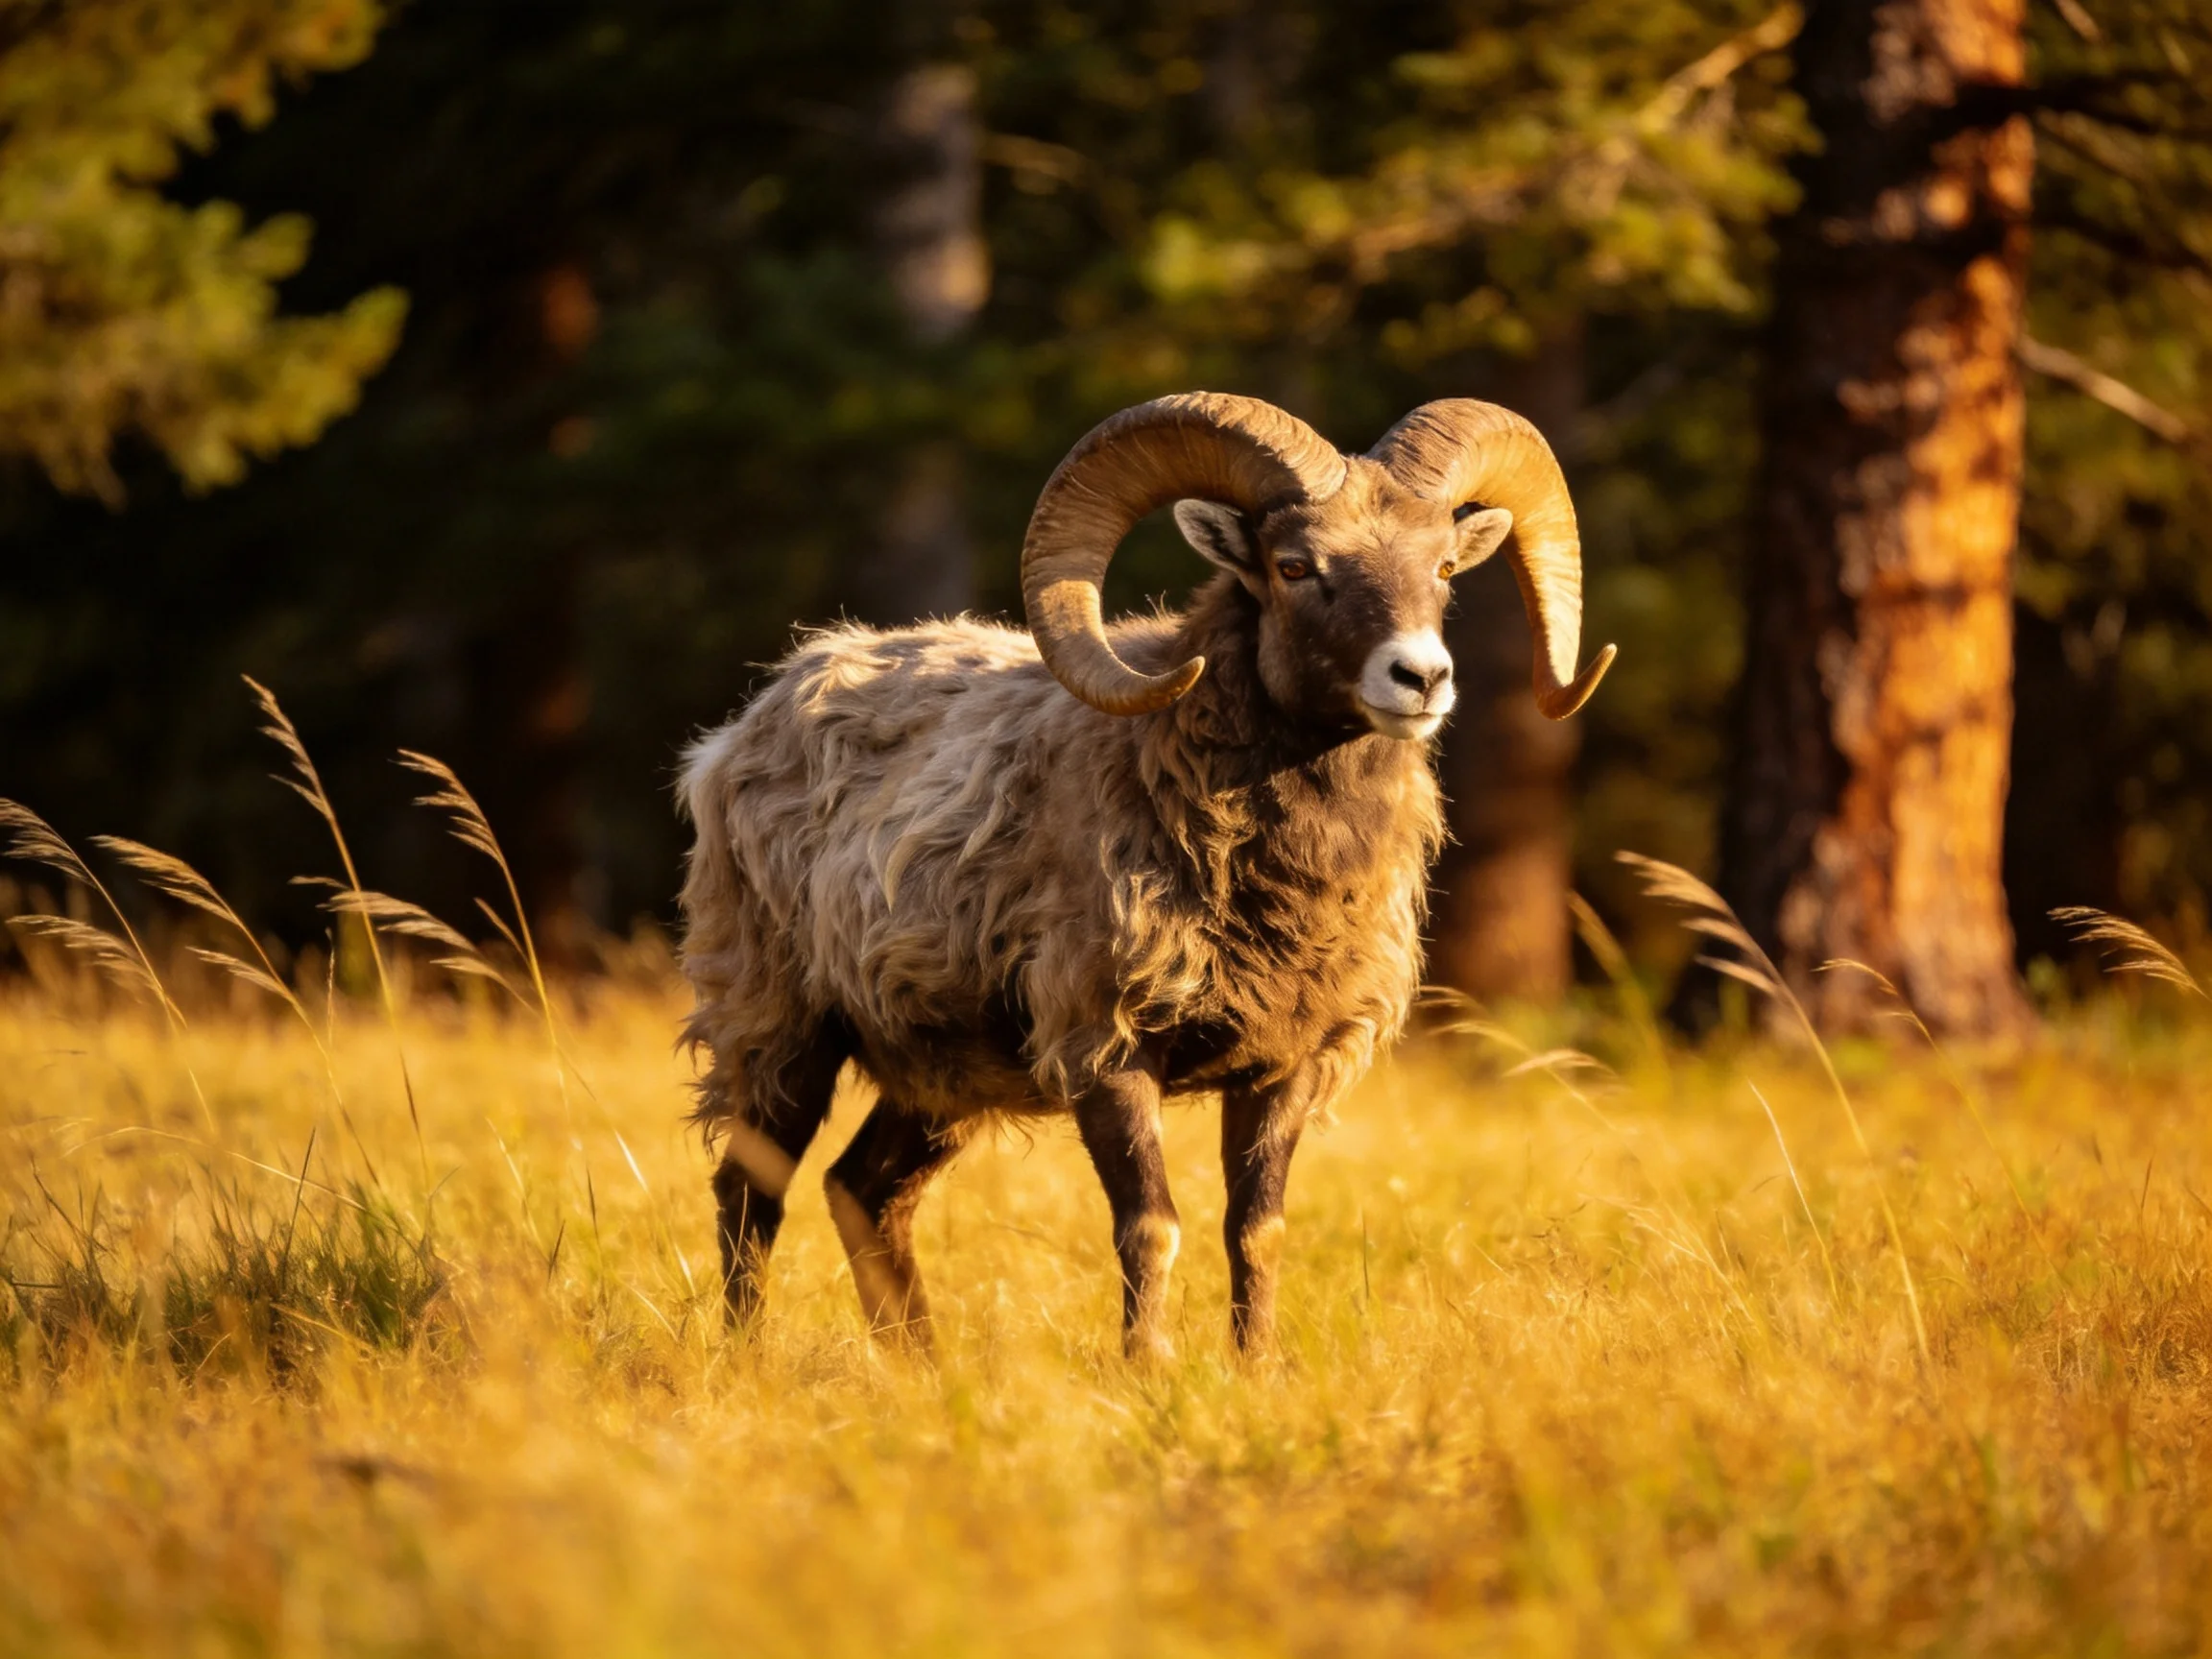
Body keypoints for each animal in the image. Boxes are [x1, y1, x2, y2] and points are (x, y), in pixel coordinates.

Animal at [678, 392, 1614, 1359]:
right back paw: (747, 1358)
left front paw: (1254, 1368)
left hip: (937, 1078)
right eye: (1294, 565)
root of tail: (744, 728)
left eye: (1443, 567)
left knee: (864, 1190)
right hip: (778, 1032)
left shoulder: (1284, 1069)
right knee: (751, 1193)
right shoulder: (1107, 1050)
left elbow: (1258, 1230)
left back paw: (923, 1369)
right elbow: (1152, 1226)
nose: (1421, 678)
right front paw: (1148, 1369)